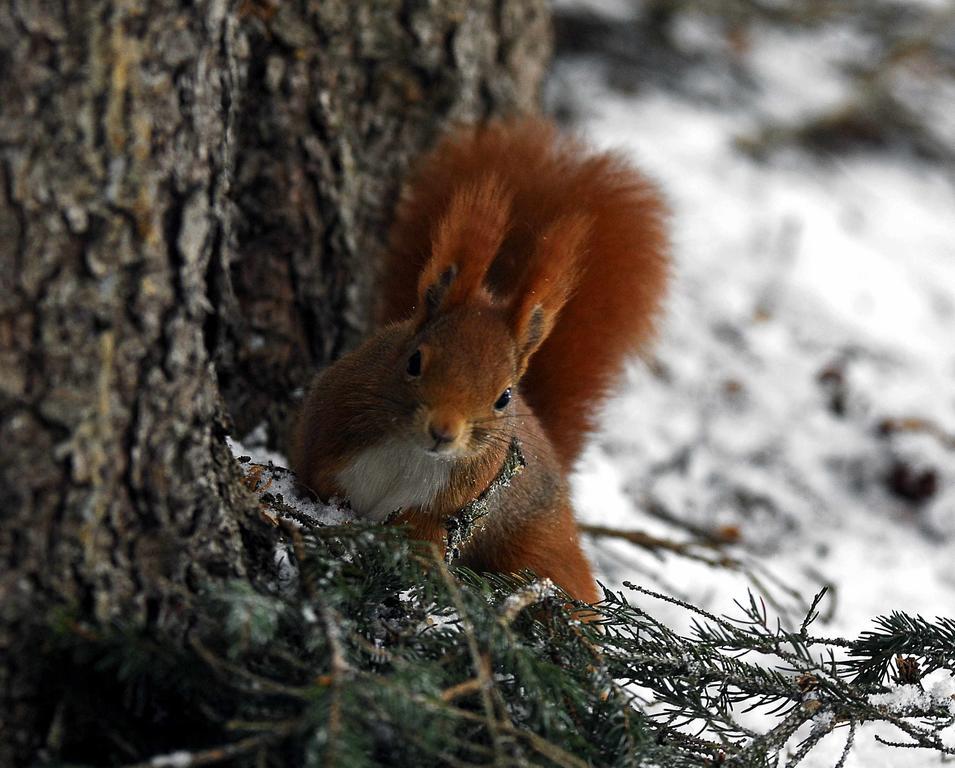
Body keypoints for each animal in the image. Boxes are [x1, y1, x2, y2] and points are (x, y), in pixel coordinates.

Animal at [296, 117, 668, 604]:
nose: (443, 431)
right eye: (413, 362)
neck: (409, 450)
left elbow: (425, 535)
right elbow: (316, 480)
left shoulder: (449, 506)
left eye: (504, 397)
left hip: (541, 544)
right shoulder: (327, 433)